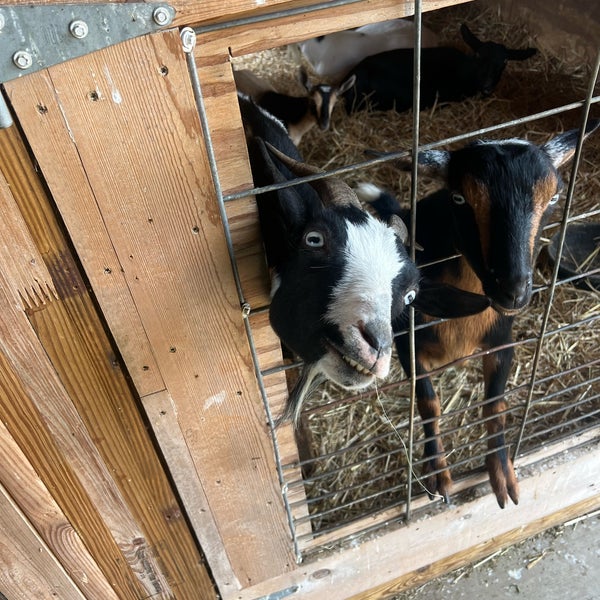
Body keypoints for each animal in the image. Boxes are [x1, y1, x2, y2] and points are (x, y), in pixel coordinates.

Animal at [360, 119, 600, 508]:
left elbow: (495, 405)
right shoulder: (406, 341)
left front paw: (503, 475)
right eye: (460, 198)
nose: (512, 290)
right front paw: (439, 475)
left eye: (554, 198)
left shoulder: (502, 341)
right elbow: (428, 402)